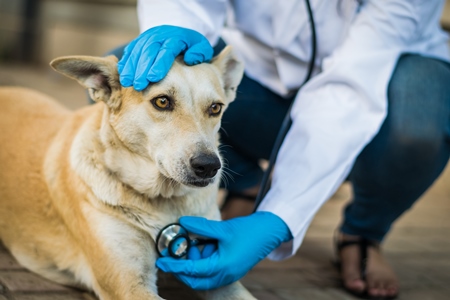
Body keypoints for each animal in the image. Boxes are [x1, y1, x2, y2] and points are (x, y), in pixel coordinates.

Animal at [0, 45, 255, 300]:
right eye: (162, 101)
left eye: (215, 108)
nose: (209, 165)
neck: (166, 201)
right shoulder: (129, 284)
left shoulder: (218, 272)